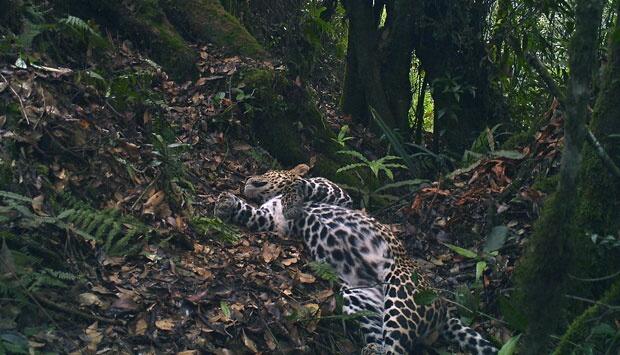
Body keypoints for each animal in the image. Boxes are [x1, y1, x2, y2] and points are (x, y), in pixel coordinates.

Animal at [216, 167, 496, 355]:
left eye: (267, 171)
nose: (246, 181)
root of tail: (443, 307)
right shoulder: (272, 220)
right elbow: (251, 214)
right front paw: (226, 202)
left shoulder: (338, 194)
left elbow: (303, 183)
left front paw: (292, 199)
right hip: (358, 299)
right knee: (382, 337)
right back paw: (372, 348)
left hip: (403, 292)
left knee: (399, 348)